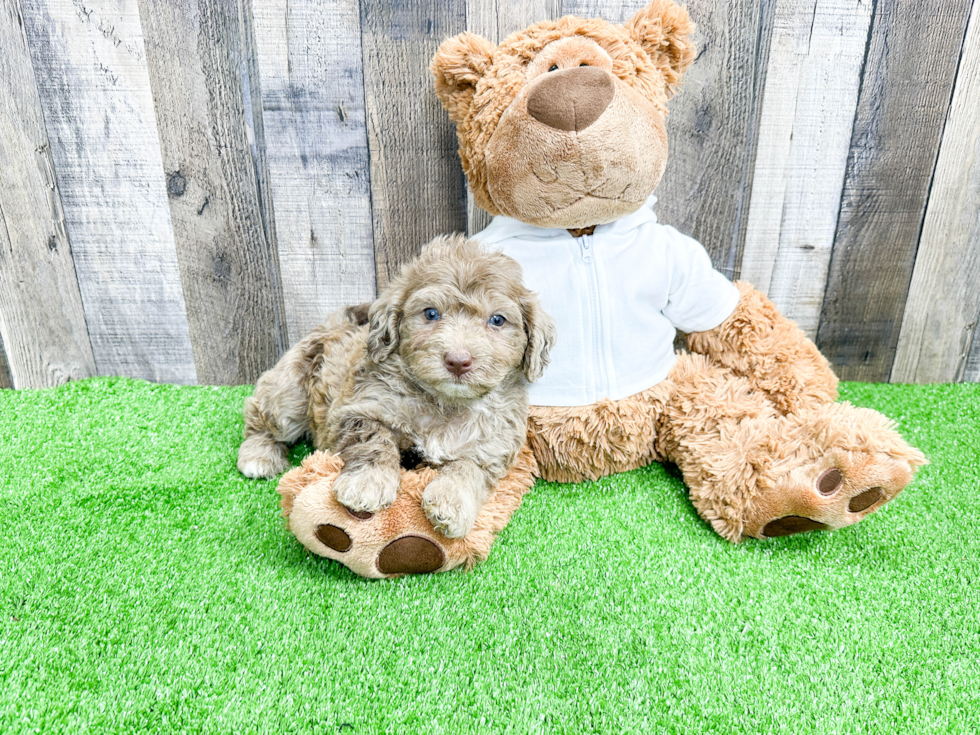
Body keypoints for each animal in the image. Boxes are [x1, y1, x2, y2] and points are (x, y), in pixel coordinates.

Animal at [237, 237, 556, 540]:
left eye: (497, 320)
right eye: (431, 313)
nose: (458, 361)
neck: (444, 403)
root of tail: (335, 322)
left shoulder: (493, 444)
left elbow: (469, 468)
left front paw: (452, 503)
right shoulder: (359, 407)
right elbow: (375, 442)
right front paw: (367, 484)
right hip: (290, 391)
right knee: (261, 415)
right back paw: (259, 455)